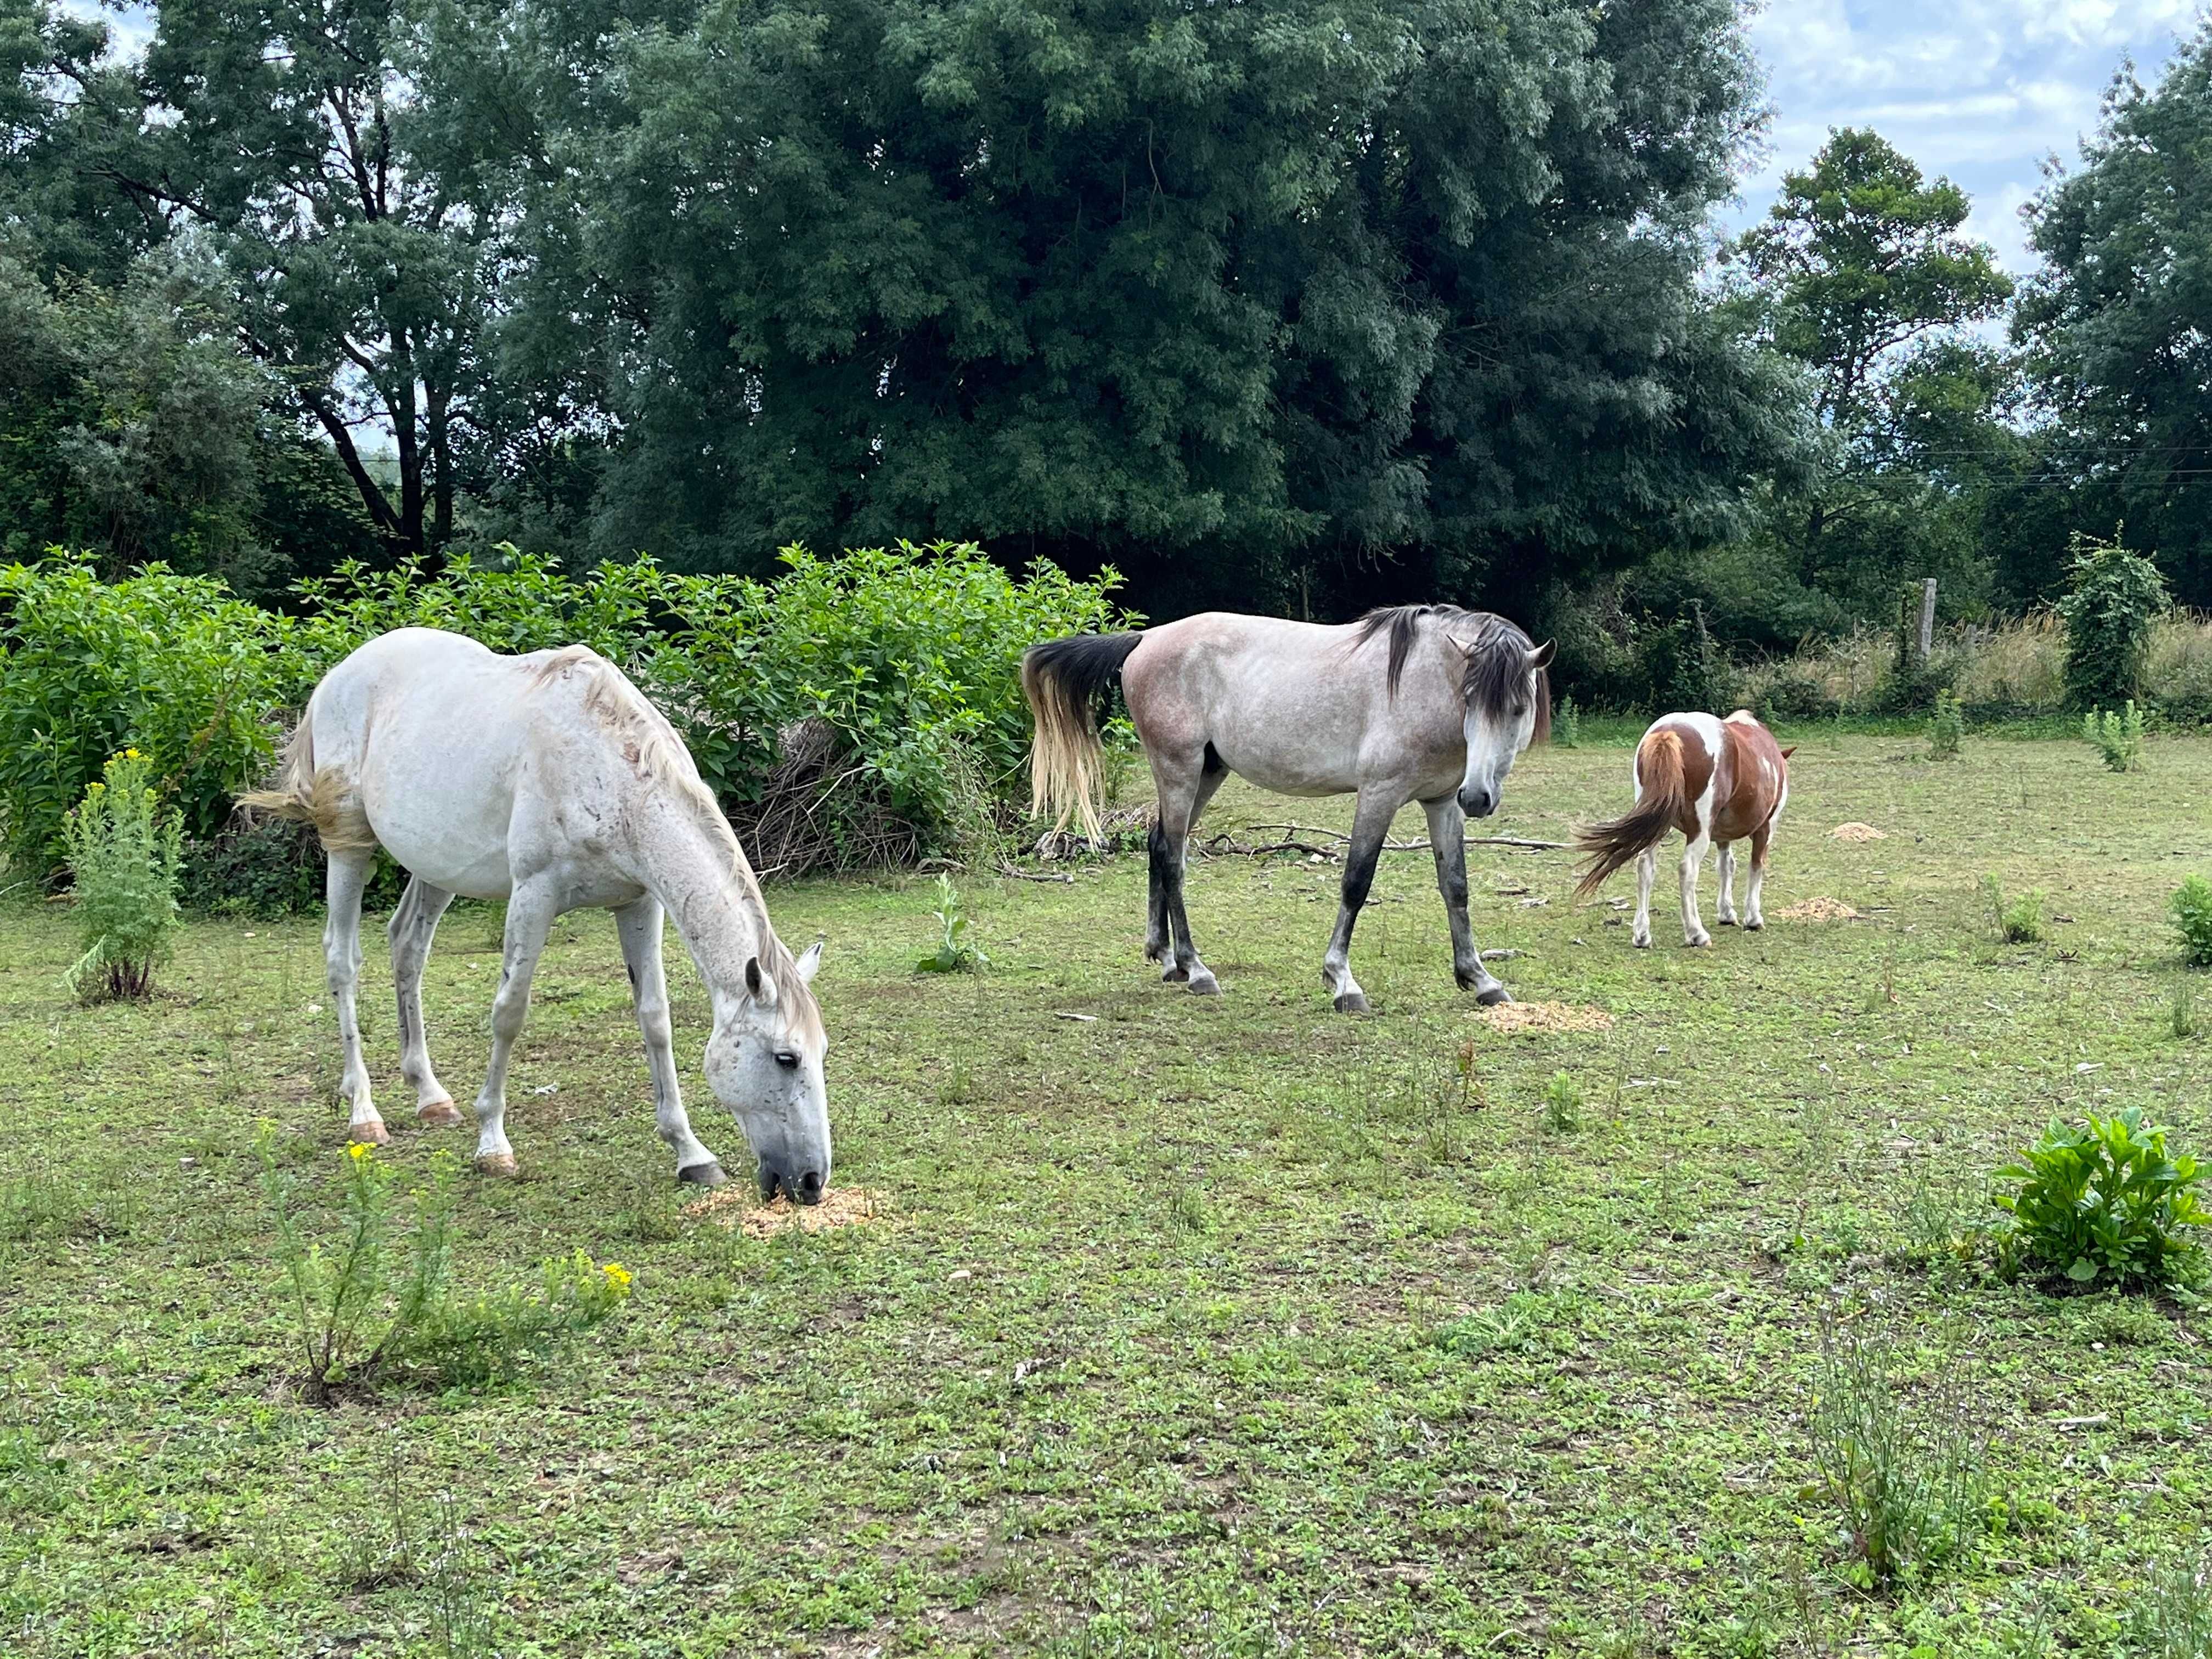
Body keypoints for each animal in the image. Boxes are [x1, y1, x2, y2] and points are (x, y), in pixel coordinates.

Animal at [242, 628, 832, 1203]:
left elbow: (655, 1019)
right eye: (785, 1058)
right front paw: (492, 1144)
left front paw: (690, 1152)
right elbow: (510, 1011)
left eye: (821, 1051)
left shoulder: (638, 903)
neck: (604, 765)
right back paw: (364, 1111)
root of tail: (338, 675)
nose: (811, 1181)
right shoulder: (533, 895)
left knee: (407, 947)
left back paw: (430, 1095)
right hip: (350, 844)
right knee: (343, 961)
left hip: (437, 867)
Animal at [1026, 610, 1548, 1013]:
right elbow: (1356, 882)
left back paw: (1168, 960)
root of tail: (1147, 638)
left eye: (1518, 708)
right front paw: (1342, 981)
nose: (1478, 798)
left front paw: (1479, 978)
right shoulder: (1379, 796)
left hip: (1206, 774)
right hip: (1179, 770)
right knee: (1173, 859)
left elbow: (1455, 887)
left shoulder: (1442, 803)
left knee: (1158, 847)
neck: (1420, 683)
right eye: (1470, 699)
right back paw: (1197, 969)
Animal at [1575, 712, 1796, 946]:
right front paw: (1753, 918)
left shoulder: (1722, 835)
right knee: (1687, 869)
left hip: (1654, 829)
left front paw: (1727, 913)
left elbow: (1726, 866)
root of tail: (1668, 732)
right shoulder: (1767, 827)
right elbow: (1756, 866)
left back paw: (1642, 934)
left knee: (1644, 867)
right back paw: (1696, 933)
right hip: (1699, 832)